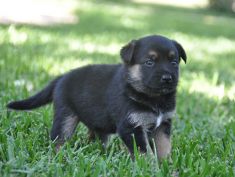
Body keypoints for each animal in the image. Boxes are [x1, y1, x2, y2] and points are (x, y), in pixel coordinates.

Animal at [7, 35, 186, 160]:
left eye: (174, 62)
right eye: (149, 62)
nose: (167, 78)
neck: (153, 97)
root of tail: (62, 77)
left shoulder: (163, 125)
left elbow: (164, 147)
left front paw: (166, 165)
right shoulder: (131, 126)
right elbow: (144, 152)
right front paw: (150, 168)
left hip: (98, 122)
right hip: (65, 116)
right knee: (58, 139)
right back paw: (59, 156)